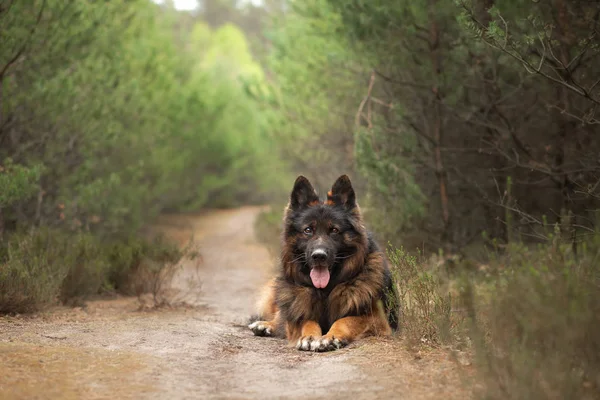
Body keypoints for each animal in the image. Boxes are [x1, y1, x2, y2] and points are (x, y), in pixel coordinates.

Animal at [248, 173, 398, 352]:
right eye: (308, 230)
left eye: (334, 230)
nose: (319, 256)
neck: (326, 291)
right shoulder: (298, 311)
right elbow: (307, 320)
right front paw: (310, 336)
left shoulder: (377, 319)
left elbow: (344, 320)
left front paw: (330, 337)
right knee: (280, 317)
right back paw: (265, 325)